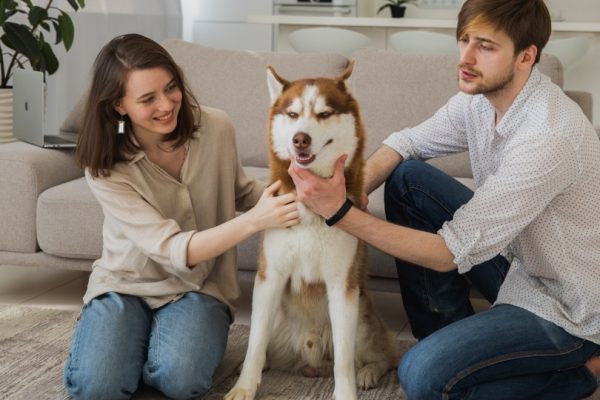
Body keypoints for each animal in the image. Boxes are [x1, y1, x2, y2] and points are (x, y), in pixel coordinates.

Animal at [224, 61, 398, 400]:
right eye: (293, 114)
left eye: (324, 114)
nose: (300, 139)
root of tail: (311, 358)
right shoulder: (269, 277)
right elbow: (254, 345)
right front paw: (244, 387)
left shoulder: (342, 286)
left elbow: (344, 359)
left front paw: (346, 393)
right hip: (277, 317)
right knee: (264, 346)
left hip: (362, 316)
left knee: (383, 356)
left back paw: (369, 372)